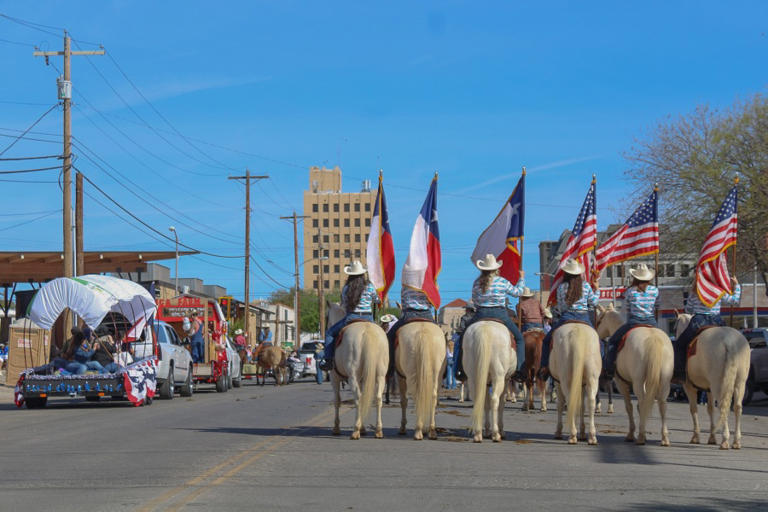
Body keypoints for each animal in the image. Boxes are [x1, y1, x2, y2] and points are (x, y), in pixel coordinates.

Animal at [328, 304, 390, 440]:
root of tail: (367, 331)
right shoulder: (363, 379)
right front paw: (363, 428)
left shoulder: (334, 377)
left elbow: (337, 401)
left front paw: (336, 428)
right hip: (380, 376)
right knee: (377, 398)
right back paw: (378, 430)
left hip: (353, 376)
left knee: (358, 398)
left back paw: (356, 430)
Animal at [592, 308, 672, 444]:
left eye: (599, 320)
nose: (597, 334)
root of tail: (653, 338)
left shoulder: (622, 383)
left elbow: (629, 406)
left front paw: (632, 433)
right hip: (664, 381)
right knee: (662, 404)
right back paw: (664, 438)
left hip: (638, 382)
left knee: (643, 401)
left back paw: (640, 437)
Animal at [676, 314, 748, 450]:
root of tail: (729, 342)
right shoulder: (709, 389)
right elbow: (710, 409)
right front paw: (712, 437)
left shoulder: (689, 387)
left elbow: (693, 409)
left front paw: (696, 437)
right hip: (740, 383)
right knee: (737, 407)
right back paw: (736, 441)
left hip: (718, 384)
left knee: (723, 406)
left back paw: (725, 440)